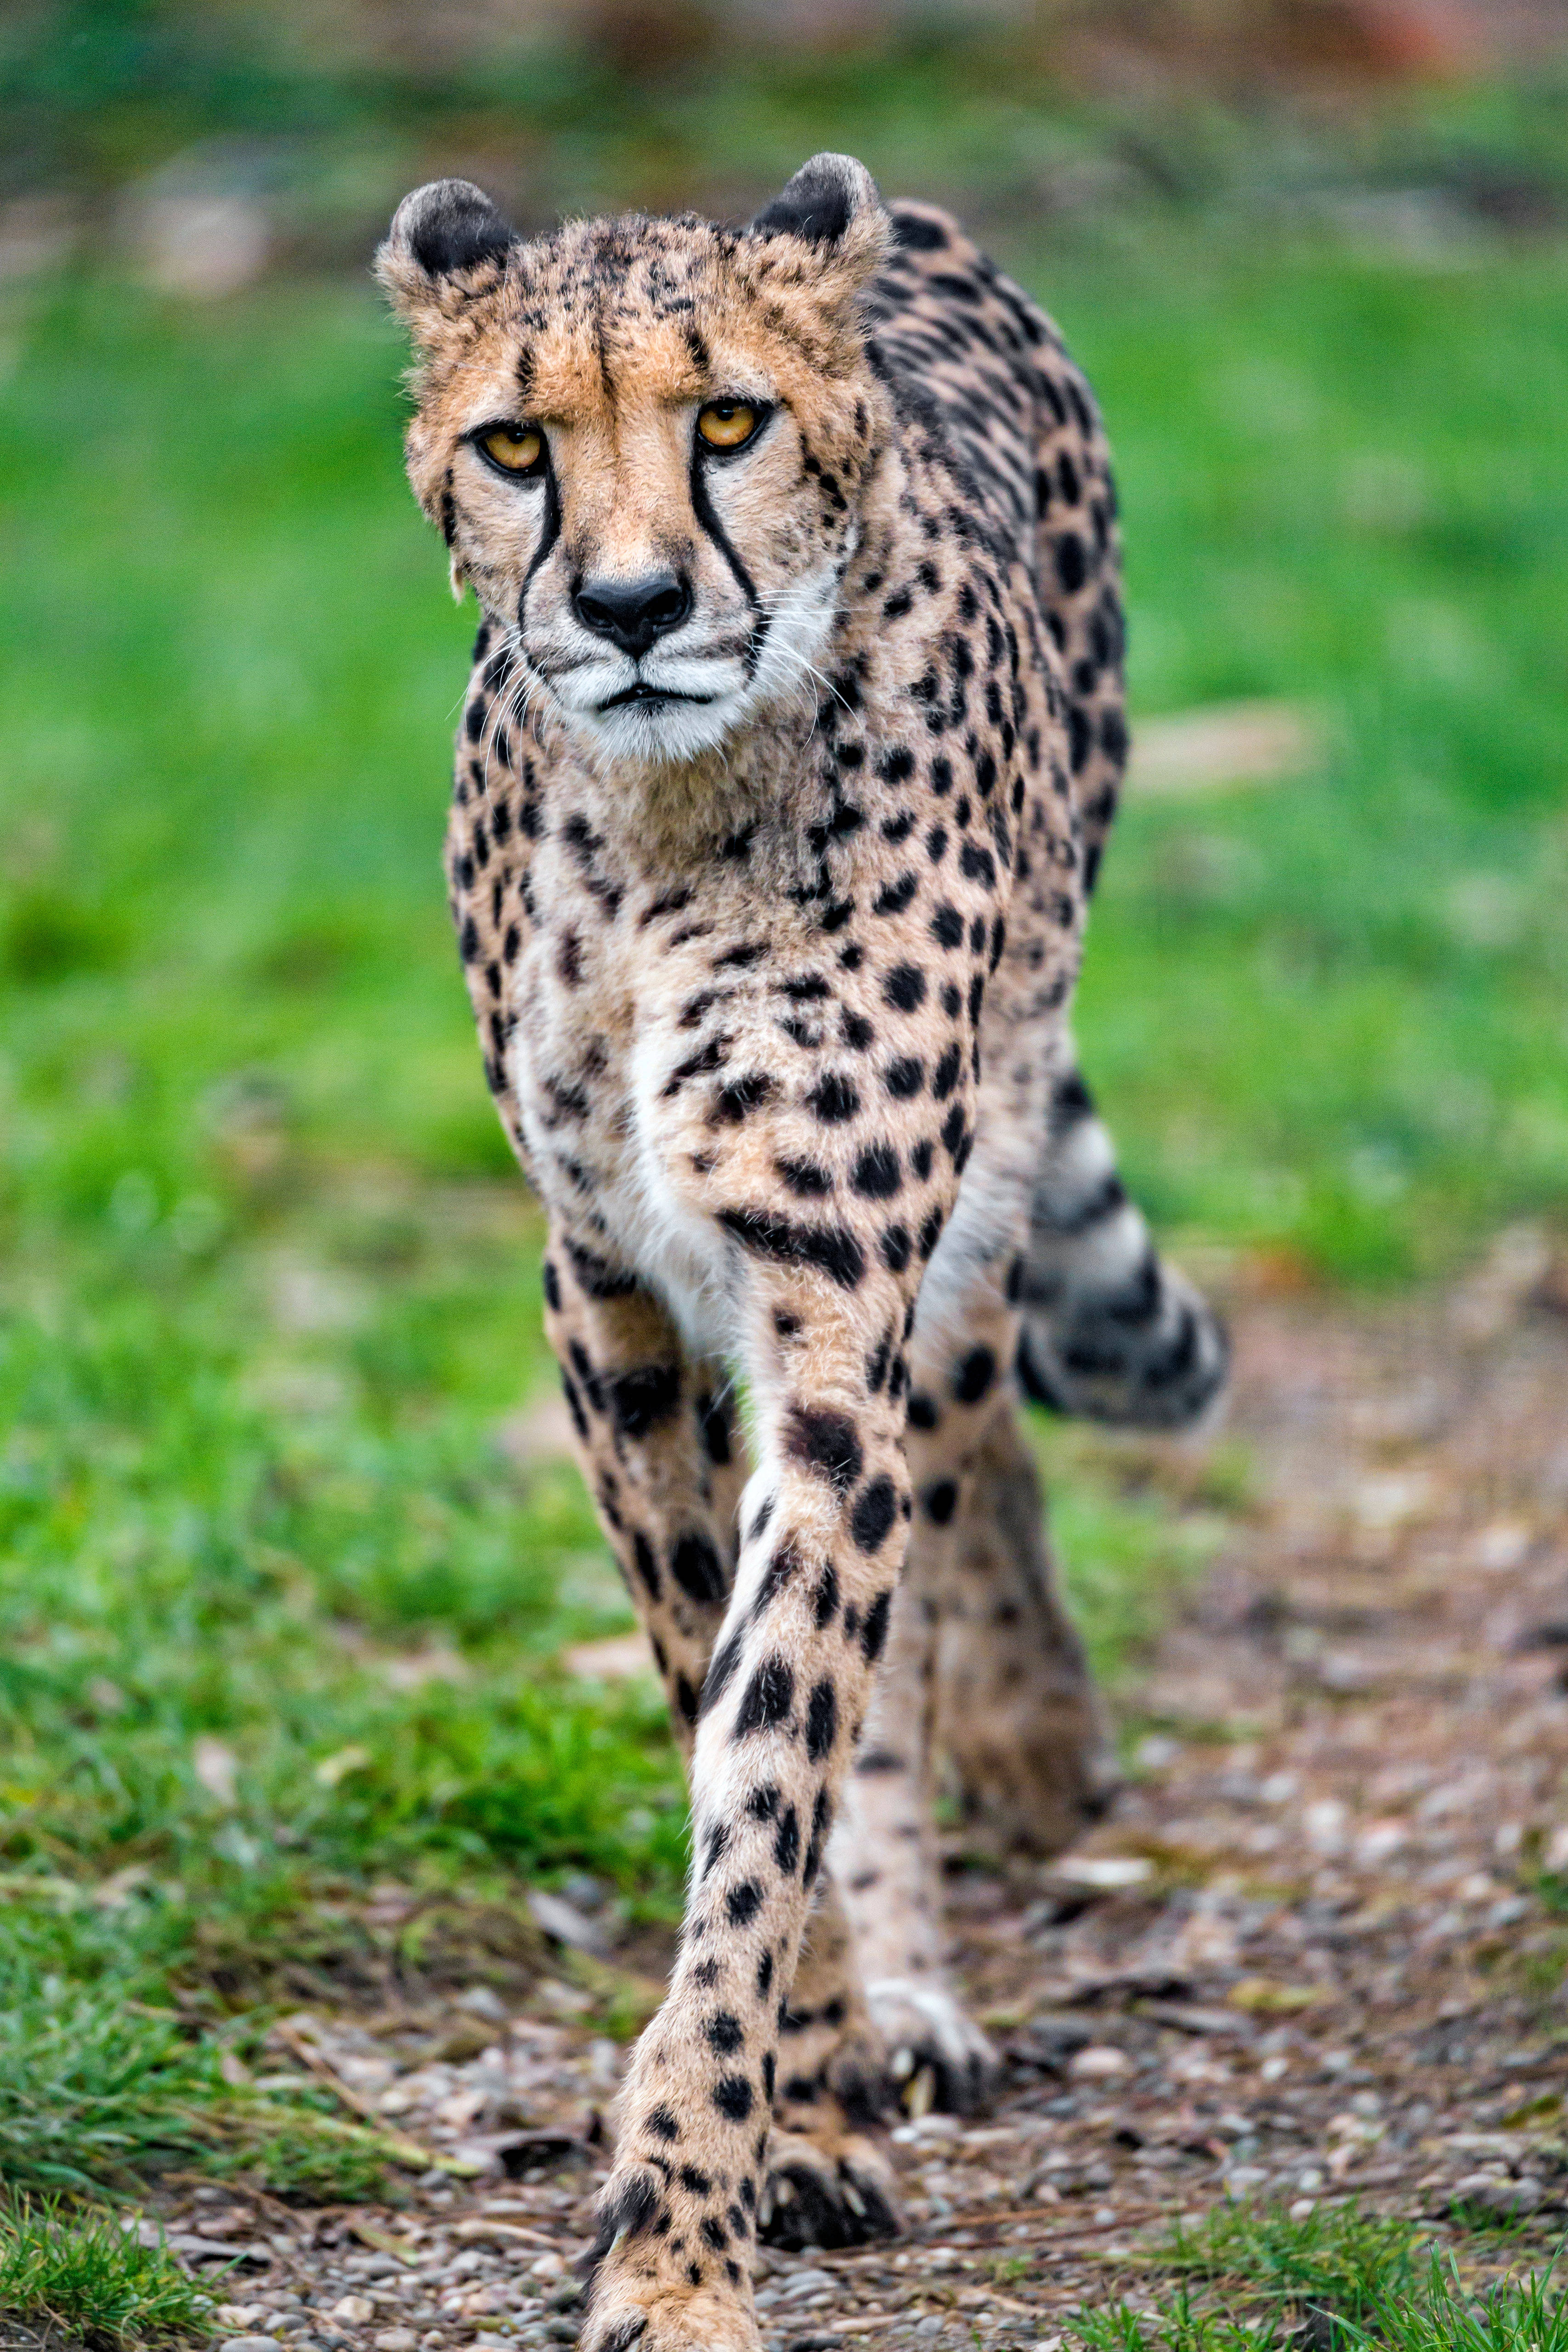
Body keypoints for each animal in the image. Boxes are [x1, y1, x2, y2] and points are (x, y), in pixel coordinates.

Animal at [378, 152, 1226, 2352]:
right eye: (516, 445)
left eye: (728, 421)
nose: (629, 610)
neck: (663, 814)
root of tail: (907, 210)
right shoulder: (602, 1294)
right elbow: (717, 1696)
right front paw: (805, 2105)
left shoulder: (833, 1313)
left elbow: (779, 1769)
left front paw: (685, 2241)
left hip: (982, 1167)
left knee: (966, 1441)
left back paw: (996, 1792)